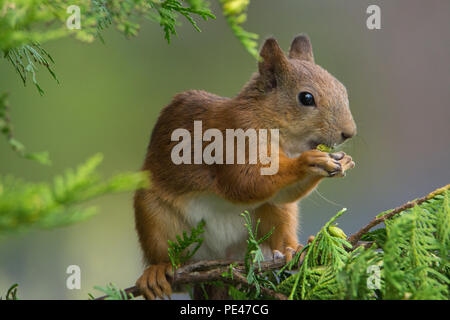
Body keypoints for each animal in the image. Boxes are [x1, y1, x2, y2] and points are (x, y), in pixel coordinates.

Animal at [133, 35, 356, 300]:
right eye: (306, 98)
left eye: (343, 89)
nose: (349, 132)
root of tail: (221, 258)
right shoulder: (230, 143)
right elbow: (244, 183)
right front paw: (310, 160)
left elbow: (279, 193)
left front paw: (340, 161)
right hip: (155, 217)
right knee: (163, 253)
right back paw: (157, 271)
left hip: (275, 217)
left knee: (278, 217)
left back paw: (292, 250)